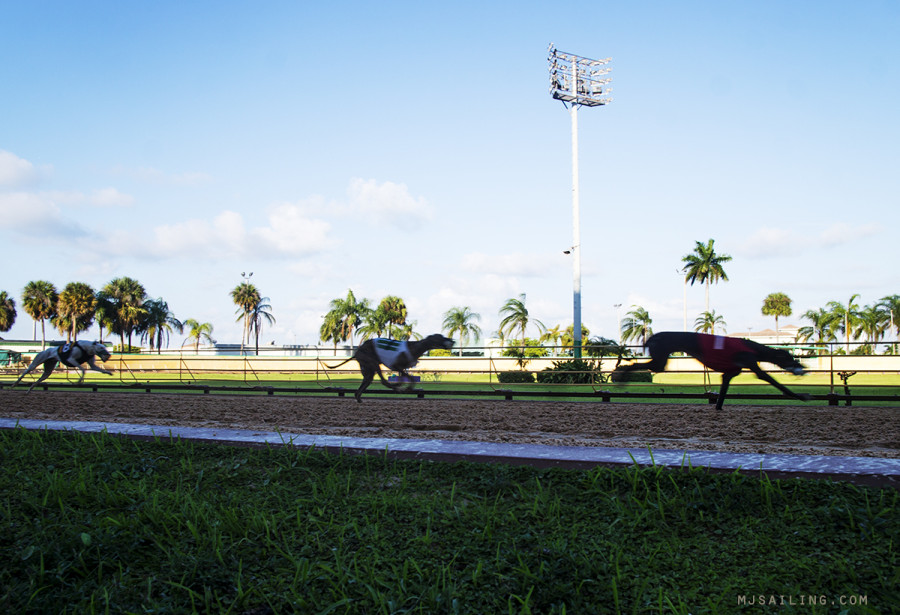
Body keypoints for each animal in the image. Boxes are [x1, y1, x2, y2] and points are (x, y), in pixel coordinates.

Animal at [326, 334, 454, 402]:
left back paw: (359, 398)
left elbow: (406, 378)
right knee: (383, 381)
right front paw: (405, 387)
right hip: (373, 363)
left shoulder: (401, 368)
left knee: (366, 382)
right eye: (441, 337)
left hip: (368, 369)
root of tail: (357, 351)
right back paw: (397, 388)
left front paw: (402, 386)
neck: (414, 347)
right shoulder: (397, 366)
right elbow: (410, 379)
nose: (452, 340)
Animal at [612, 330, 808, 412]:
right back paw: (620, 377)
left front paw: (718, 408)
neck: (753, 348)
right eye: (790, 358)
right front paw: (802, 396)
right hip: (660, 360)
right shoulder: (751, 362)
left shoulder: (728, 374)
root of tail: (652, 337)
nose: (804, 369)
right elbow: (773, 381)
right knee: (635, 366)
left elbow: (722, 392)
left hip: (660, 359)